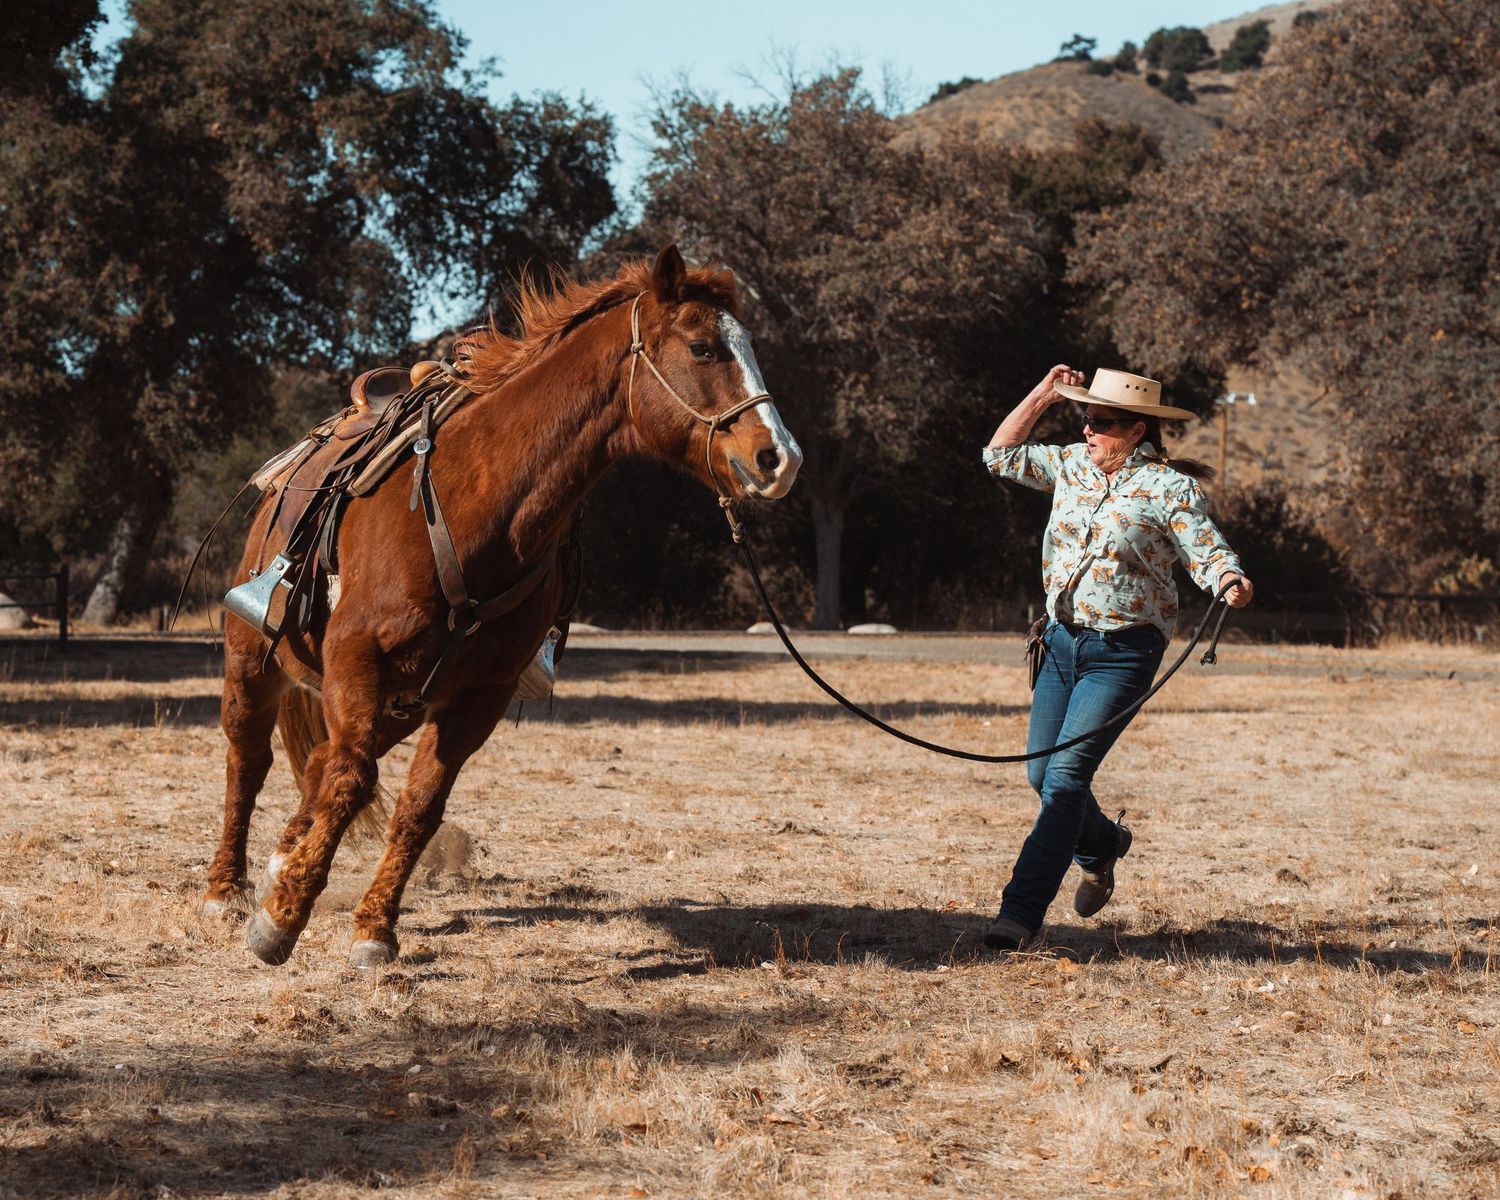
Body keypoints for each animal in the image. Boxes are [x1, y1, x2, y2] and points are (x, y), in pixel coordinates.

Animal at [201, 245, 803, 968]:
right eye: (704, 347)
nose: (780, 458)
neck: (476, 506)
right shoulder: (358, 661)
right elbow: (349, 781)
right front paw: (281, 921)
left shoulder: (475, 697)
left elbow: (418, 804)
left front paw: (374, 928)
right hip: (255, 661)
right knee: (251, 760)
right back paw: (225, 891)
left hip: (400, 704)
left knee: (323, 763)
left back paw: (284, 857)